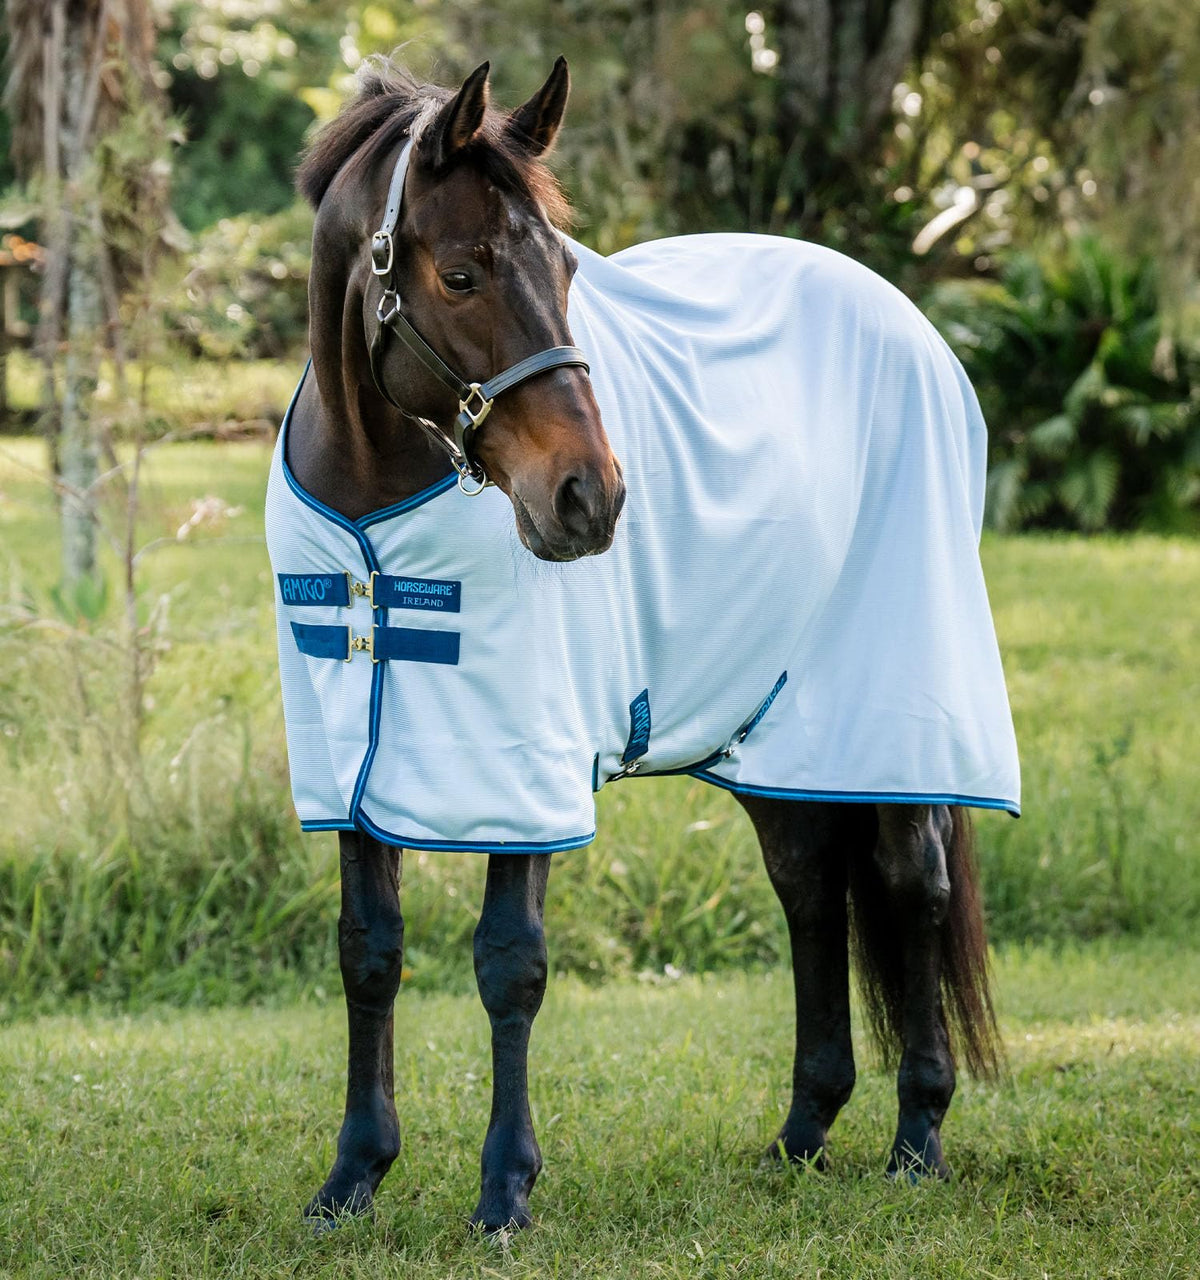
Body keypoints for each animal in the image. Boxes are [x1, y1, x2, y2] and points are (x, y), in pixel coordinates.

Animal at [268, 55, 1018, 1233]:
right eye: (461, 273)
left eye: (567, 271)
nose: (590, 496)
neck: (372, 503)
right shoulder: (352, 766)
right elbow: (368, 954)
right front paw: (352, 1175)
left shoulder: (524, 765)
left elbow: (511, 964)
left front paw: (505, 1189)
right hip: (779, 732)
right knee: (810, 885)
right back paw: (802, 1132)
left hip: (893, 704)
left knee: (912, 883)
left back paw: (918, 1137)